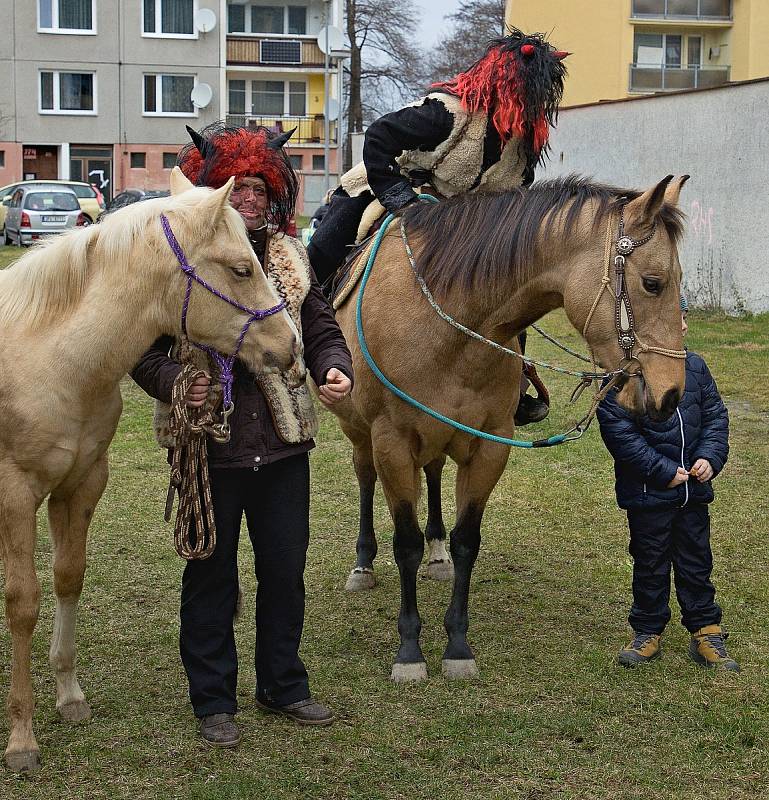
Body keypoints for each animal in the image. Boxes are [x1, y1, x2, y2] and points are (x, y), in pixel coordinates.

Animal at [0, 170, 300, 776]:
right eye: (241, 268)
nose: (291, 346)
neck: (49, 359)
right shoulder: (15, 492)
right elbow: (23, 603)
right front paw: (21, 738)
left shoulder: (83, 483)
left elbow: (69, 578)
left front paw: (69, 697)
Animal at [330, 173, 688, 680]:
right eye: (653, 284)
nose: (670, 394)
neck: (449, 328)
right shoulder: (392, 443)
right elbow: (405, 544)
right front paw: (410, 651)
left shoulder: (489, 446)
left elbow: (466, 542)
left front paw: (458, 646)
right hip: (361, 431)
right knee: (364, 477)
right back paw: (363, 564)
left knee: (433, 475)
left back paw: (437, 553)